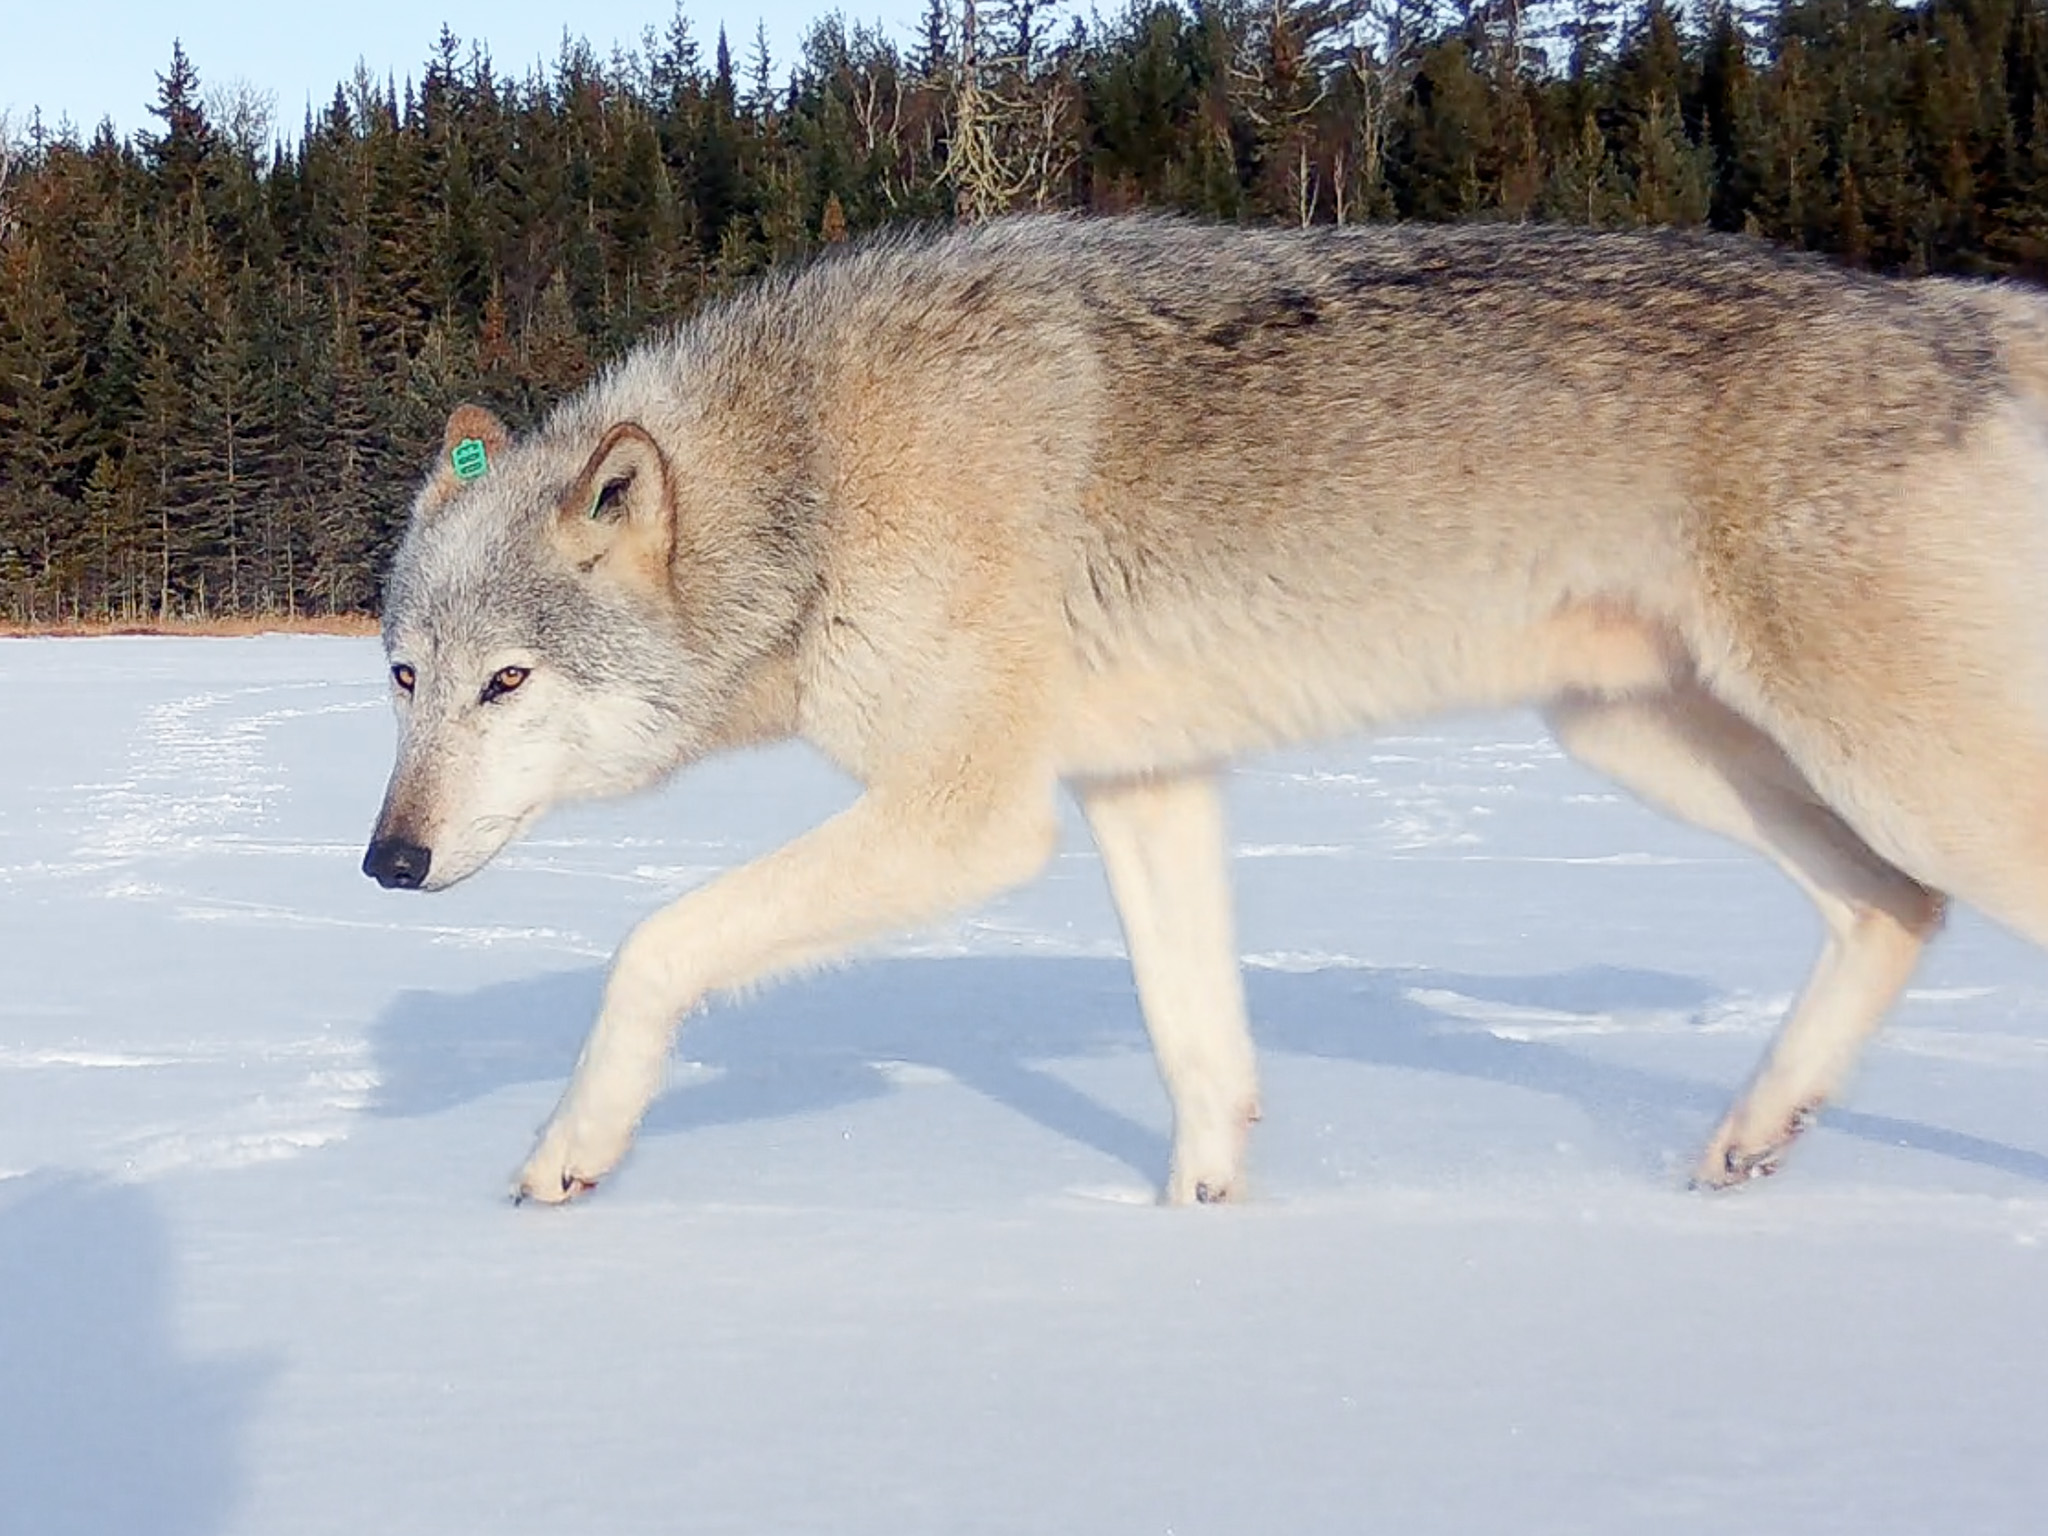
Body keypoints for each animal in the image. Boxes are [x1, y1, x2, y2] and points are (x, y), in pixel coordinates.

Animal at [368, 217, 2048, 1212]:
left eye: (508, 682)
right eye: (403, 679)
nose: (386, 863)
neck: (815, 474)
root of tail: (1950, 312)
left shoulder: (974, 822)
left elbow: (656, 947)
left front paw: (570, 1149)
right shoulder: (1144, 787)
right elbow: (1199, 1054)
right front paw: (1198, 1239)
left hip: (1885, 762)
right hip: (1659, 745)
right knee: (1894, 909)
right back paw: (1752, 1135)